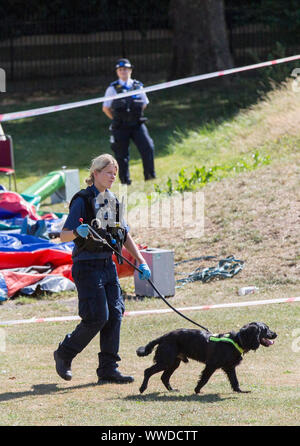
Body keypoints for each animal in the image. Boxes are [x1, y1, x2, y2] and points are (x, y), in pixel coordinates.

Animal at [53, 153, 151, 384]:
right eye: (109, 171)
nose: (114, 176)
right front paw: (81, 230)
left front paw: (144, 267)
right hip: (89, 284)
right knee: (97, 316)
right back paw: (62, 360)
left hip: (110, 284)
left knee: (114, 313)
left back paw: (110, 372)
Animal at [136, 320, 276, 394]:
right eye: (266, 329)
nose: (276, 334)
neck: (237, 340)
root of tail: (163, 337)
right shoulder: (211, 365)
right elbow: (204, 379)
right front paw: (197, 390)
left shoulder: (230, 367)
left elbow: (235, 381)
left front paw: (240, 391)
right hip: (166, 361)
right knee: (147, 371)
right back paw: (142, 388)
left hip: (174, 362)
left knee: (164, 377)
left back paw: (172, 390)